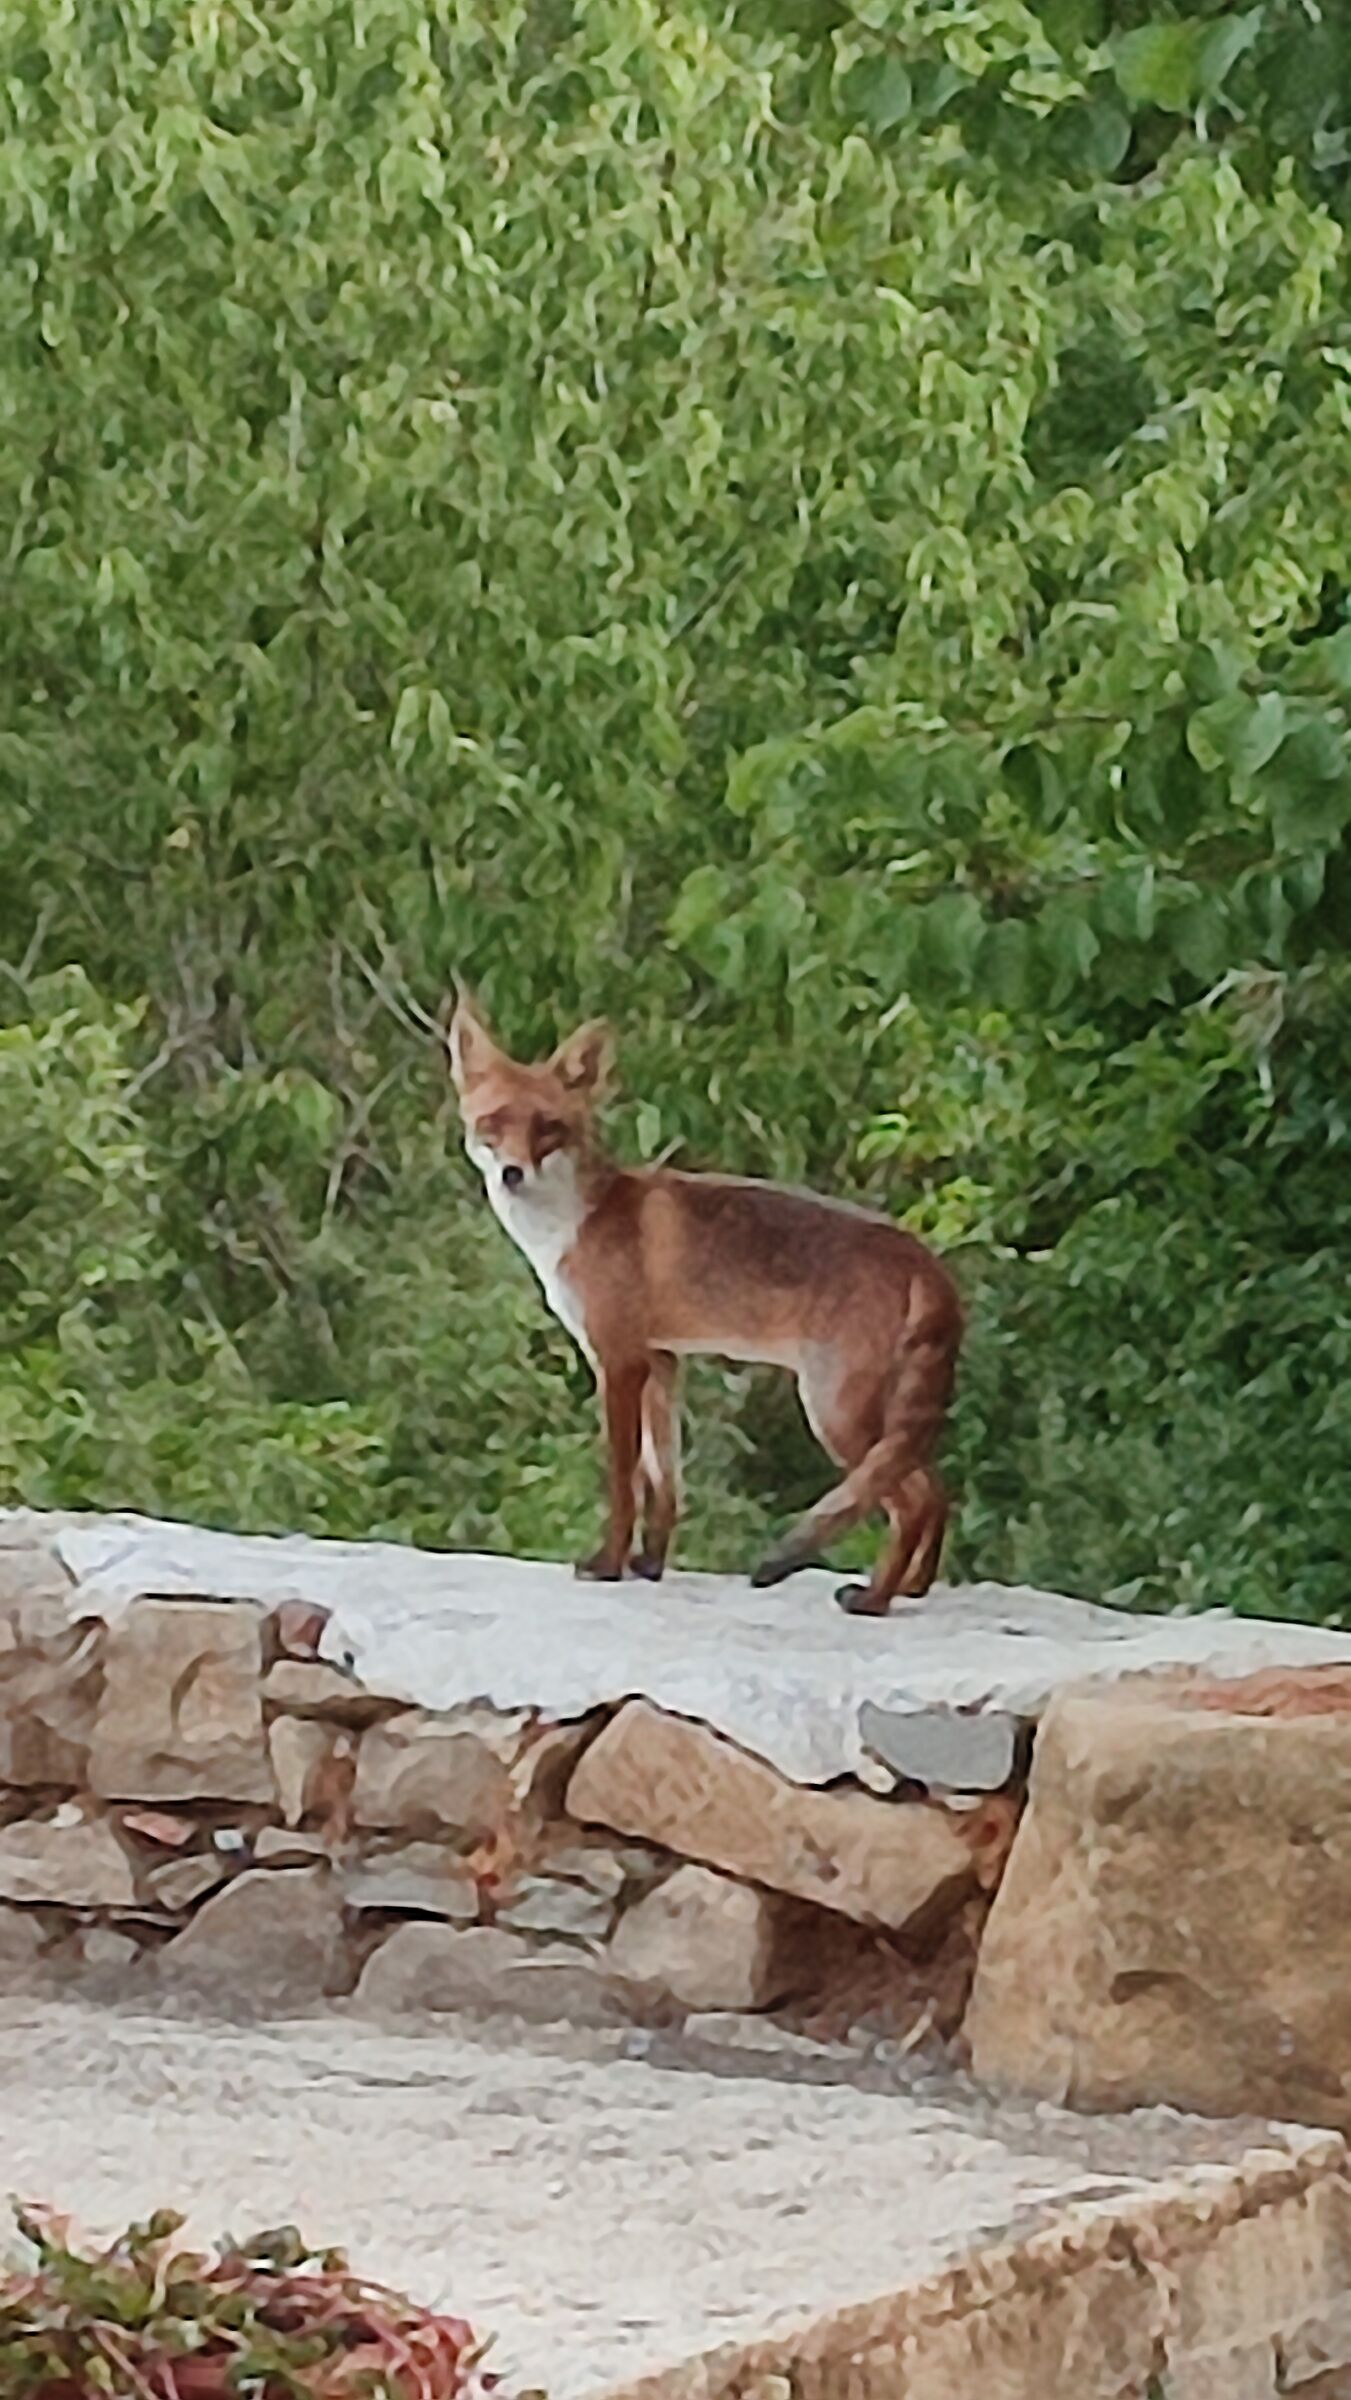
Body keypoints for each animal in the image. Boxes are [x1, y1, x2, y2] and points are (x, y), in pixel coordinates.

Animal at [446, 992, 962, 1615]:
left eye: (549, 1127)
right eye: (493, 1124)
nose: (512, 1173)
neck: (575, 1223)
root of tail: (922, 1253)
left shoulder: (618, 1361)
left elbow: (624, 1482)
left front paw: (609, 1564)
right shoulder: (662, 1361)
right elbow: (663, 1480)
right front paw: (648, 1565)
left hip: (834, 1413)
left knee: (911, 1500)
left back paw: (874, 1600)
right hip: (872, 1419)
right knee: (935, 1491)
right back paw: (913, 1586)